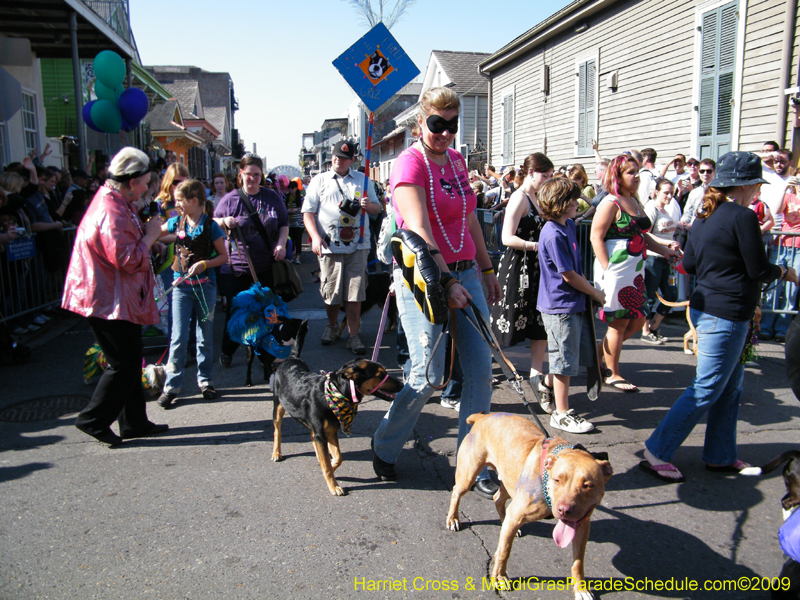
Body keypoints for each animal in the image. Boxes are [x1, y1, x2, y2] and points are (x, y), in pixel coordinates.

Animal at [272, 324, 404, 496]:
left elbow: (337, 458)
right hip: (278, 406)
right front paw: (333, 485)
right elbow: (328, 464)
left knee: (311, 436)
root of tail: (292, 358)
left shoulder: (331, 431)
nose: (402, 385)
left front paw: (329, 467)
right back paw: (276, 453)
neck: (338, 391)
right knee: (277, 431)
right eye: (380, 375)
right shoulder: (322, 434)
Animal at [444, 412, 612, 600]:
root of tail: (483, 417)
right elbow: (504, 551)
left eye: (588, 485)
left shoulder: (582, 526)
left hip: (509, 480)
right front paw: (500, 577)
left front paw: (581, 588)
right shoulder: (517, 513)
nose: (564, 509)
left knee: (498, 499)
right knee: (456, 492)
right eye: (558, 480)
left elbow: (578, 561)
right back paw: (453, 519)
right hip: (469, 474)